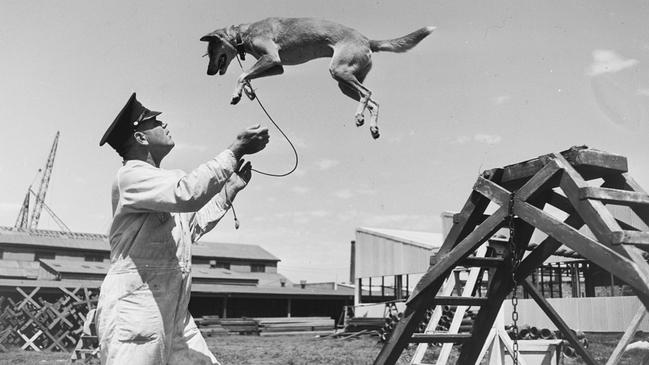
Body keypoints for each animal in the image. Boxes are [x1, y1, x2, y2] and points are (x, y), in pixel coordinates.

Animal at [201, 16, 436, 138]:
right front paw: (247, 92)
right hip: (345, 82)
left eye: (211, 51)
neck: (243, 33)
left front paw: (237, 94)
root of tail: (367, 40)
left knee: (367, 93)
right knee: (373, 101)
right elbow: (247, 76)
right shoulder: (276, 67)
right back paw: (372, 126)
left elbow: (242, 74)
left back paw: (359, 116)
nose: (209, 72)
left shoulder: (272, 59)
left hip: (340, 71)